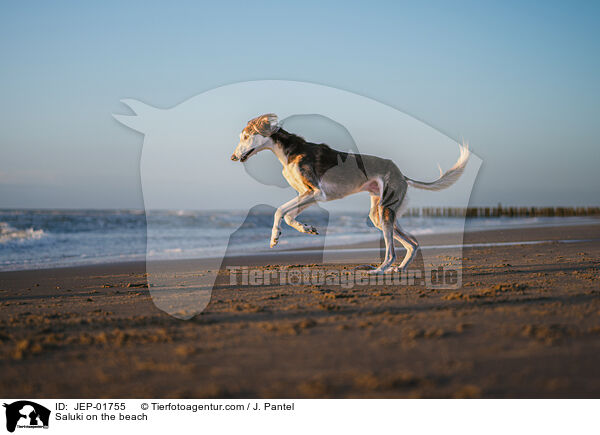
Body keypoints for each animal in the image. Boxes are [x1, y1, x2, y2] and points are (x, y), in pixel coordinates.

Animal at [230, 114, 468, 274]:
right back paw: (399, 269)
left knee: (392, 251)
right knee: (413, 244)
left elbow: (279, 211)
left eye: (246, 136)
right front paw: (306, 228)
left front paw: (275, 237)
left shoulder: (315, 192)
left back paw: (379, 270)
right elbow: (288, 216)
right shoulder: (308, 194)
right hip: (380, 214)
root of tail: (402, 174)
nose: (232, 157)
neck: (290, 151)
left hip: (385, 212)